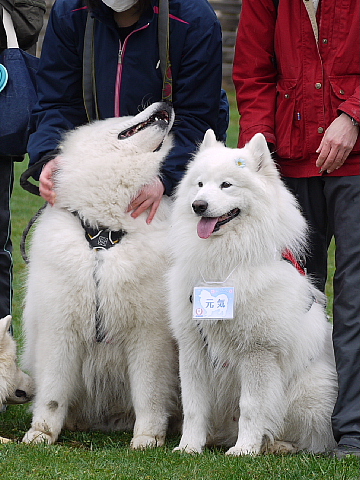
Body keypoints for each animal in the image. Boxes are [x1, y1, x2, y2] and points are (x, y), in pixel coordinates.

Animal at [21, 103, 179, 448]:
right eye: (122, 116)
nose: (167, 104)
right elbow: (52, 393)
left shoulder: (149, 335)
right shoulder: (59, 328)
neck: (103, 237)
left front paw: (147, 438)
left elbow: (149, 394)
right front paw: (41, 434)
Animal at [169, 129, 338, 456]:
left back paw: (277, 445)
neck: (224, 262)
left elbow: (252, 406)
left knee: (314, 438)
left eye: (226, 185)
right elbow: (194, 405)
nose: (198, 205)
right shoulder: (193, 346)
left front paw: (244, 449)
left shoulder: (258, 352)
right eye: (200, 184)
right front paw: (189, 447)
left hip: (309, 393)